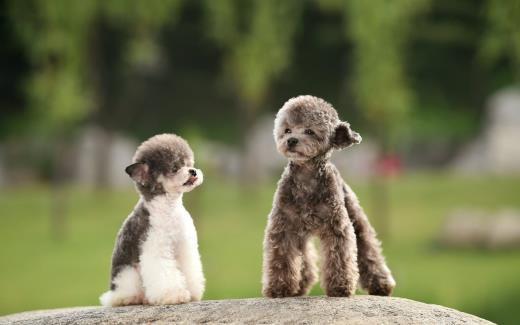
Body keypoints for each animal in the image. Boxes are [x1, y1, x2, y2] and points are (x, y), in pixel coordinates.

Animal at [99, 133, 205, 306]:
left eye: (189, 163)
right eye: (174, 168)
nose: (193, 171)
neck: (169, 209)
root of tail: (112, 294)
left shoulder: (184, 247)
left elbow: (189, 269)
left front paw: (193, 292)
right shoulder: (155, 246)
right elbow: (164, 274)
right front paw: (174, 295)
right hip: (128, 274)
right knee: (125, 292)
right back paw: (130, 298)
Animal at [262, 95, 396, 298]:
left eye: (309, 131)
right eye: (287, 130)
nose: (291, 140)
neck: (306, 179)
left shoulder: (336, 226)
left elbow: (339, 257)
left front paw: (340, 287)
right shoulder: (283, 226)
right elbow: (281, 258)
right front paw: (280, 288)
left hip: (356, 219)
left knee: (369, 250)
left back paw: (381, 284)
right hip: (301, 234)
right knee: (306, 259)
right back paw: (300, 286)